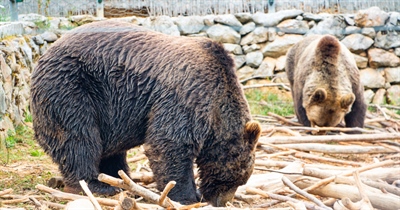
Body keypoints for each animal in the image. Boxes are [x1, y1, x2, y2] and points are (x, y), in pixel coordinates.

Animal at [31, 20, 262, 207]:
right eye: (236, 178)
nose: (222, 201)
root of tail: (45, 54)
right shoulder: (187, 95)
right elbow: (171, 143)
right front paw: (187, 195)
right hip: (72, 86)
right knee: (78, 137)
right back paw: (96, 185)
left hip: (108, 106)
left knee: (110, 148)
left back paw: (120, 179)